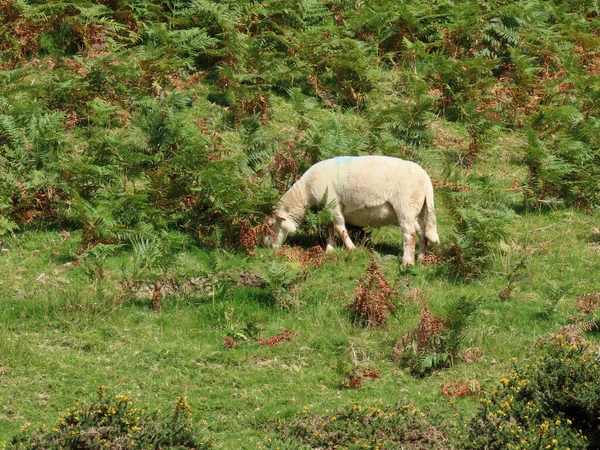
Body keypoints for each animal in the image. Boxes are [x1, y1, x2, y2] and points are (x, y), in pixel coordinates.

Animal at [264, 156, 438, 266]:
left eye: (271, 225)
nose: (266, 246)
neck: (305, 192)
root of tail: (426, 179)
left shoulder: (333, 203)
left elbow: (340, 228)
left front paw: (351, 248)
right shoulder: (327, 208)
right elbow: (329, 228)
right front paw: (330, 249)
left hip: (405, 206)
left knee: (410, 234)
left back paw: (407, 262)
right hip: (418, 208)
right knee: (422, 233)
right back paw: (420, 258)